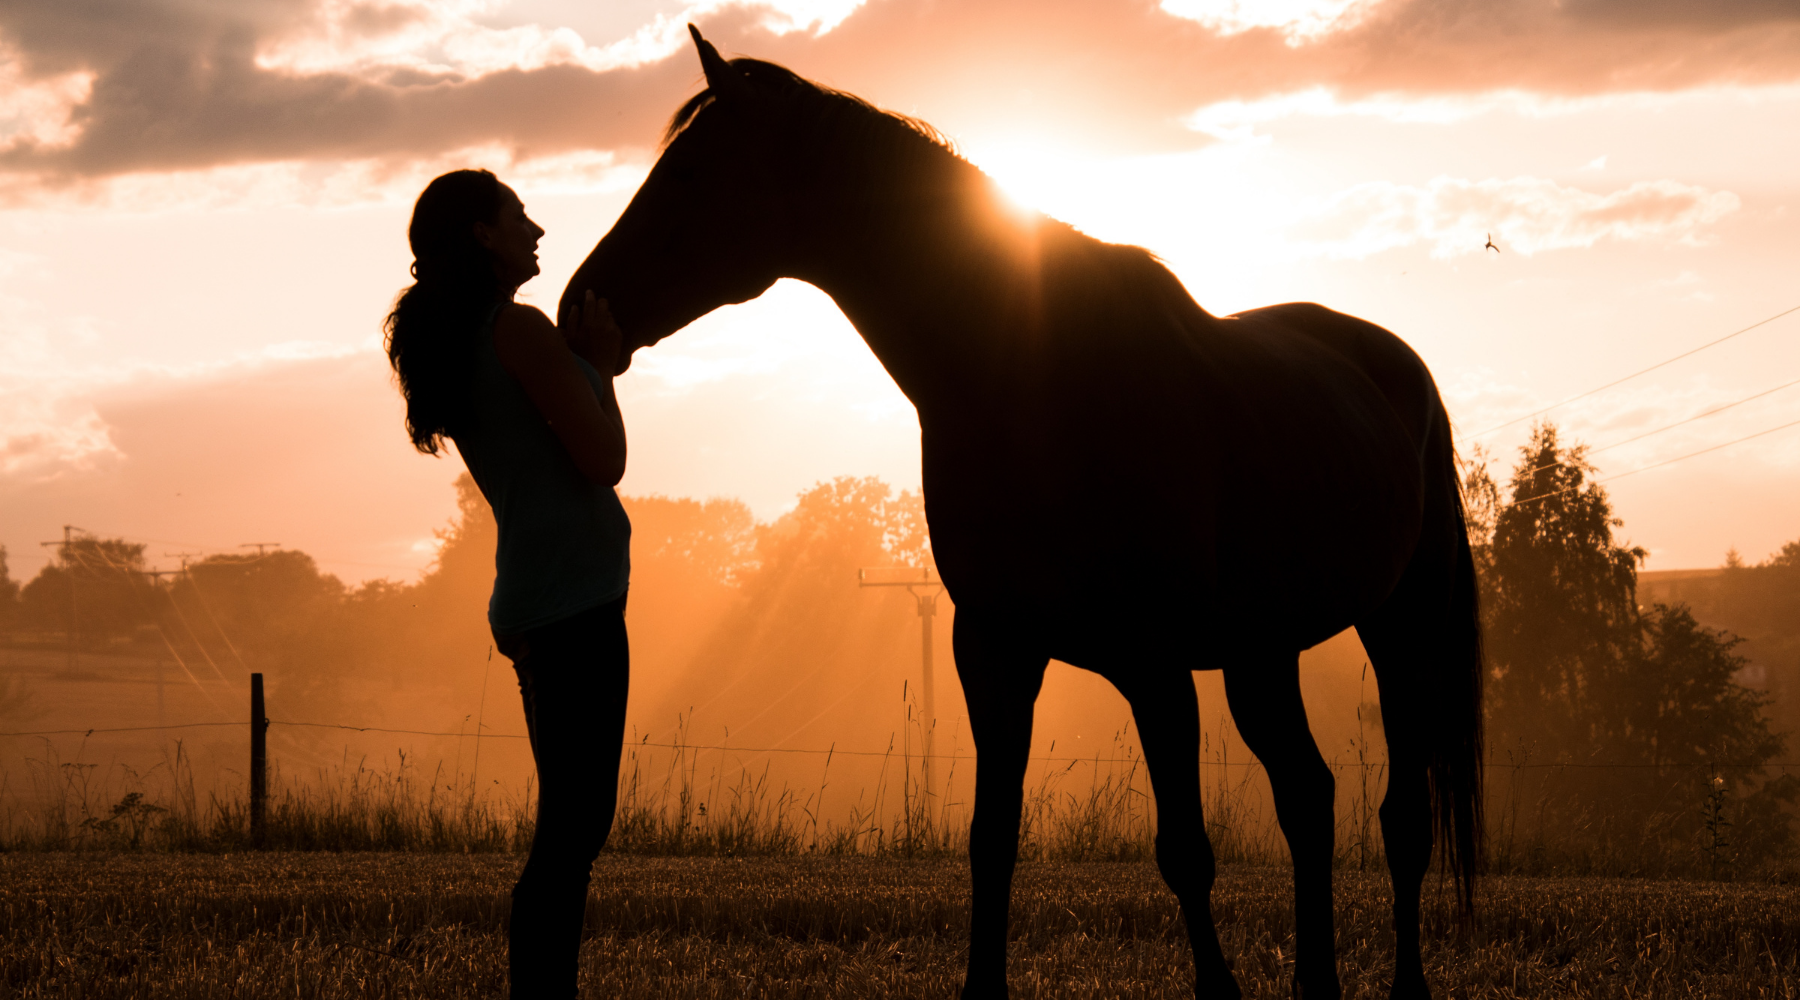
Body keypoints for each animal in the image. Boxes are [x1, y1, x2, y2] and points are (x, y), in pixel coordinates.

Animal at [564, 27, 1484, 1000]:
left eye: (694, 174)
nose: (579, 303)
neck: (1036, 378)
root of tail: (1396, 366)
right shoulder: (994, 649)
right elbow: (991, 841)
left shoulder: (1154, 663)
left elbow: (1185, 850)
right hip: (1260, 652)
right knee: (1309, 797)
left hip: (1401, 631)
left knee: (1401, 817)